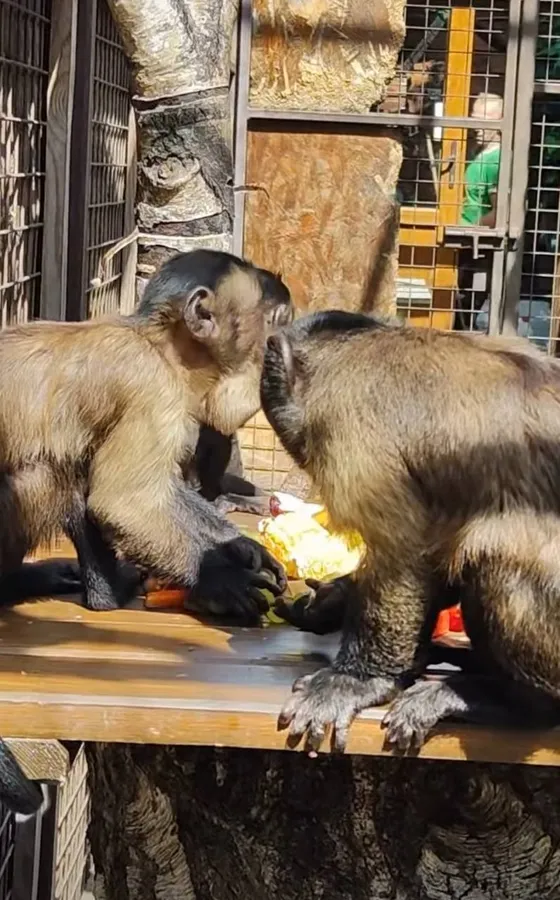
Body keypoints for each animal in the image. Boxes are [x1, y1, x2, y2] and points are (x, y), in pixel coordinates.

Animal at [0, 248, 294, 816]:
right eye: (275, 323)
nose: (278, 351)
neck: (160, 348)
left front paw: (241, 550)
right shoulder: (152, 388)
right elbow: (126, 500)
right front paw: (220, 582)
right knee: (51, 470)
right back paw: (102, 593)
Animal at [262, 312, 560, 756]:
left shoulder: (351, 426)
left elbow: (401, 553)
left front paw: (357, 681)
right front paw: (325, 605)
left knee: (496, 559)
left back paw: (513, 701)